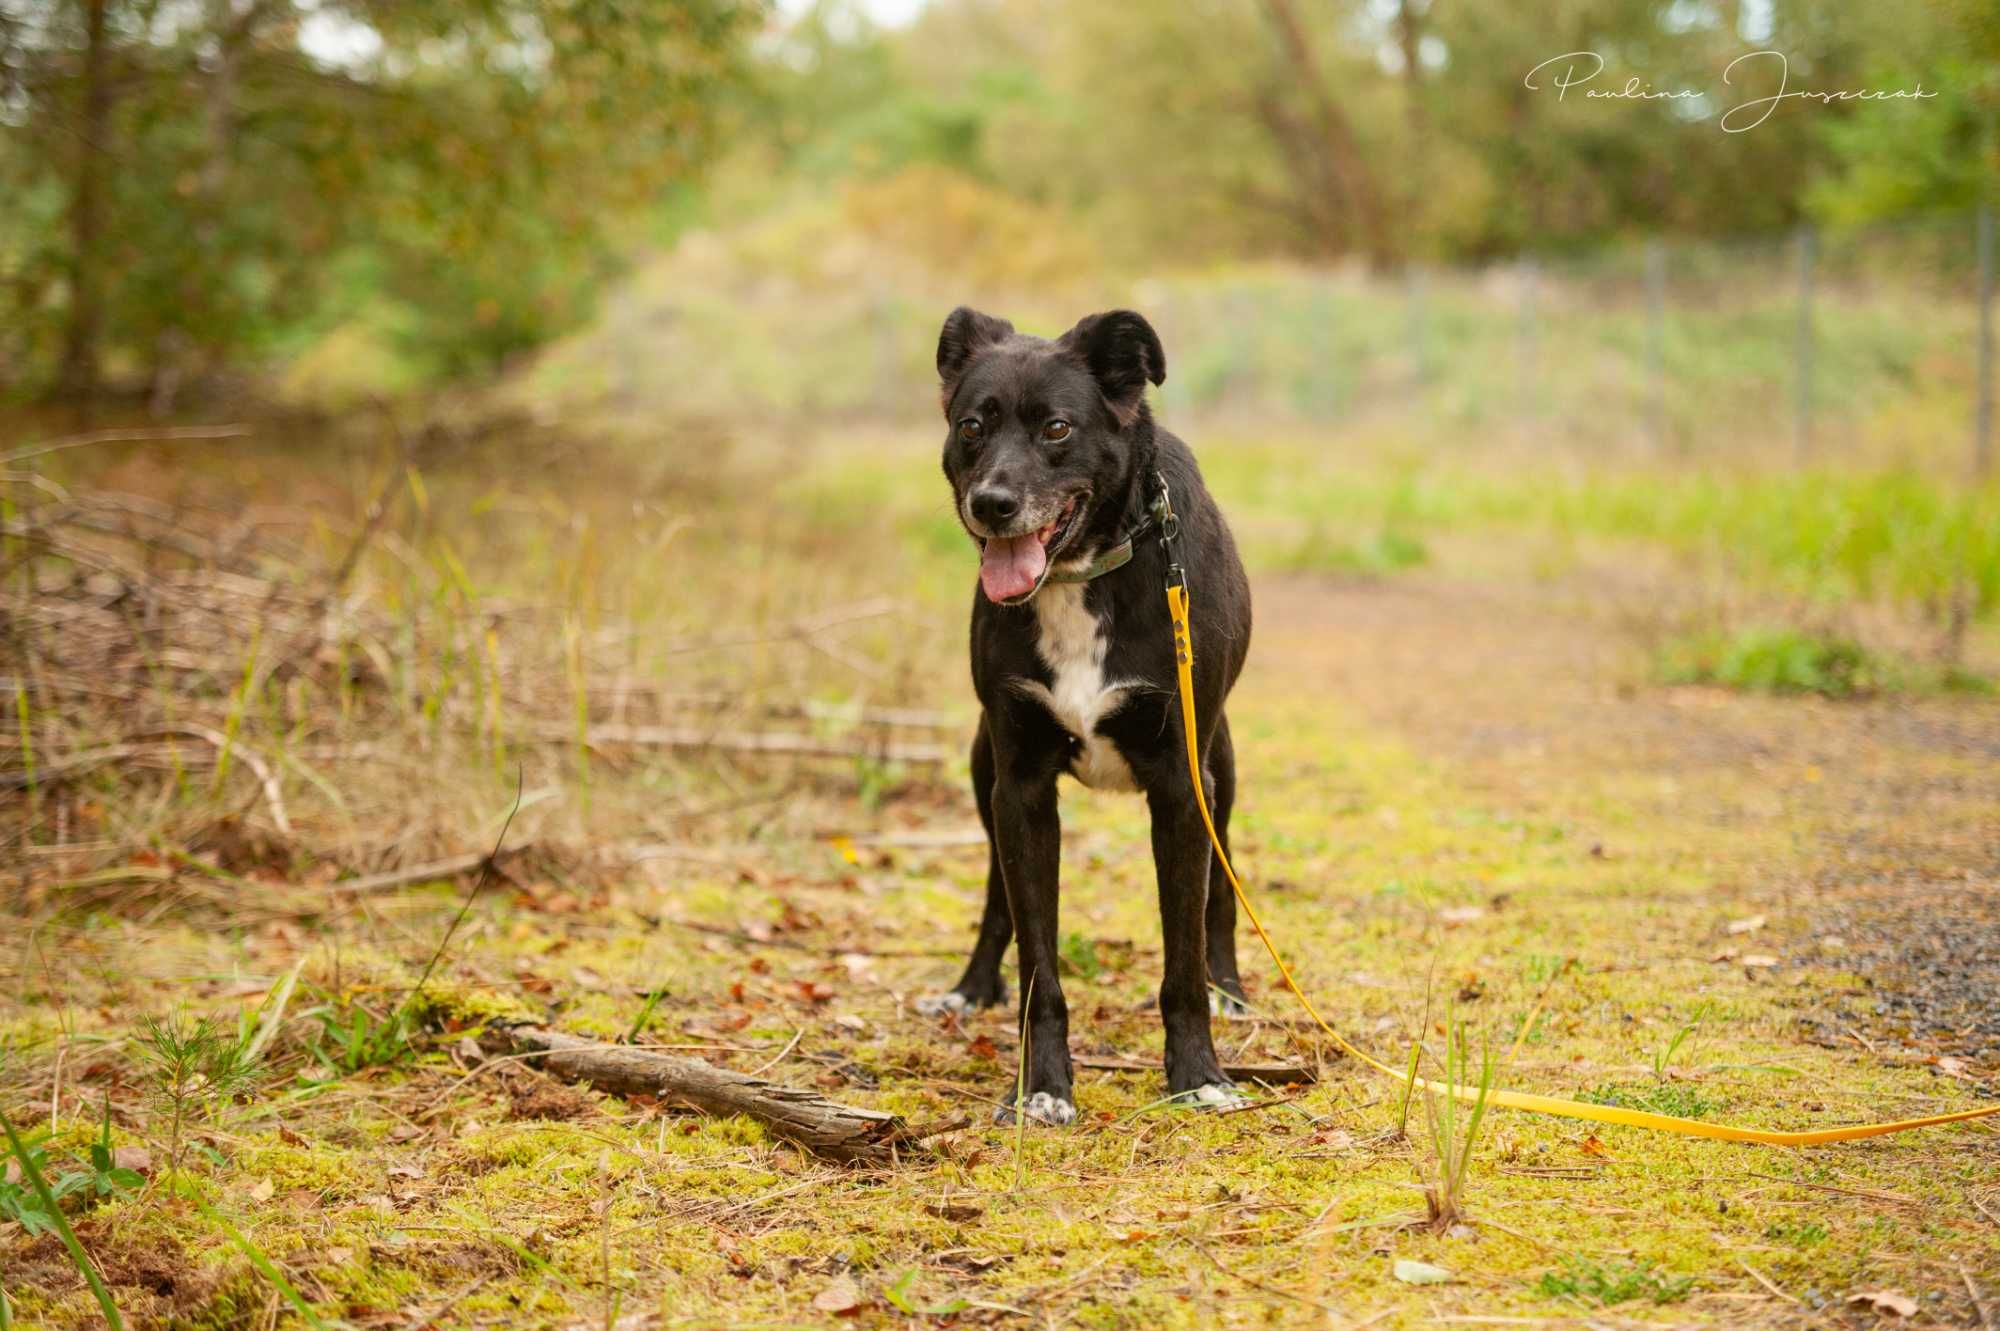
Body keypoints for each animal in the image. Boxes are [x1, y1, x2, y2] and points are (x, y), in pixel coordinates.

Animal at [916, 307, 1248, 1119]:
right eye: (973, 425)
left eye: (1058, 428)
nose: (992, 504)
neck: (1080, 576)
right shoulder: (1022, 788)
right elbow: (1038, 957)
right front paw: (1040, 1086)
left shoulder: (1182, 786)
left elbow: (1183, 956)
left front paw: (1199, 1073)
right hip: (985, 778)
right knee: (997, 897)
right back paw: (971, 987)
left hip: (1221, 770)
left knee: (1222, 894)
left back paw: (1231, 989)